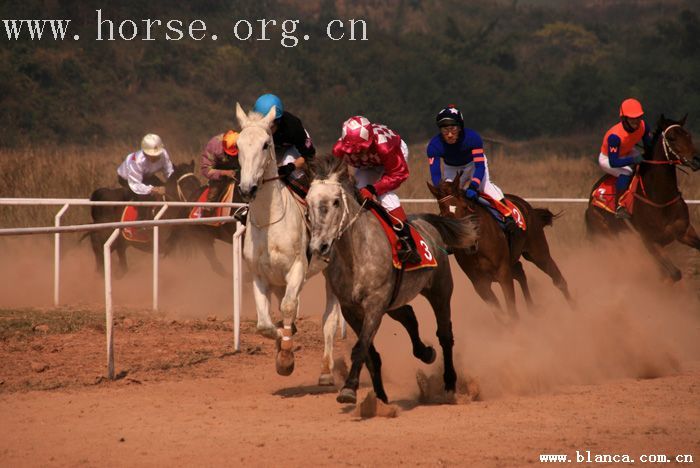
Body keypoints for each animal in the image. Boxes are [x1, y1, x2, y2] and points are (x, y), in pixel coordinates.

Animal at [235, 100, 342, 382]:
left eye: (265, 144)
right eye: (238, 145)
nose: (247, 188)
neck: (270, 222)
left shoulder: (296, 269)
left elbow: (288, 307)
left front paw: (285, 356)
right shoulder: (260, 276)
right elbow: (265, 324)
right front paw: (281, 342)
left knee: (329, 319)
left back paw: (326, 370)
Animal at [308, 155, 482, 404]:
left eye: (335, 202)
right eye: (308, 202)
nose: (318, 246)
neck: (355, 256)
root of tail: (426, 223)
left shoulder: (374, 304)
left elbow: (361, 347)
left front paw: (349, 389)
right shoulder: (352, 308)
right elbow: (370, 353)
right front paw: (379, 396)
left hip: (440, 290)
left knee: (445, 335)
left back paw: (449, 383)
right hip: (394, 300)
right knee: (408, 315)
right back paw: (425, 353)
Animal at [426, 175, 576, 322]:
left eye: (465, 207)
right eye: (444, 214)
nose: (468, 241)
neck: (477, 248)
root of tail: (527, 206)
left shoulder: (503, 273)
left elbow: (511, 311)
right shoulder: (479, 283)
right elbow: (499, 313)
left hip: (537, 252)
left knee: (558, 280)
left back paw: (575, 310)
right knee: (520, 272)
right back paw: (533, 309)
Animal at [584, 115, 700, 282]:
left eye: (688, 135)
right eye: (671, 138)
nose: (696, 159)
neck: (661, 199)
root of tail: (592, 198)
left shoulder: (684, 232)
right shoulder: (651, 242)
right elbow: (674, 274)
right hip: (608, 236)